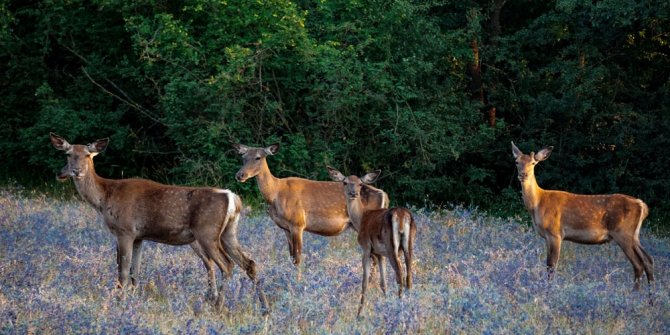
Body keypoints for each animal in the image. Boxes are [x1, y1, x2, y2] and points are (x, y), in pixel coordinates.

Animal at [50, 134, 268, 316]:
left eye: (88, 155)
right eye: (68, 154)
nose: (74, 171)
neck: (104, 198)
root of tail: (232, 197)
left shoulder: (124, 230)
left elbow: (122, 271)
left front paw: (120, 302)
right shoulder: (139, 236)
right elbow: (135, 271)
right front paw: (133, 300)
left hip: (207, 232)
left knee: (227, 264)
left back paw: (218, 306)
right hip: (228, 232)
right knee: (249, 262)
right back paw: (264, 308)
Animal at [328, 167, 418, 318]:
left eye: (360, 184)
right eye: (345, 182)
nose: (353, 193)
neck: (361, 218)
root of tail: (401, 215)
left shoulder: (366, 248)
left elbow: (365, 282)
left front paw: (359, 314)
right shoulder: (379, 254)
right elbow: (383, 282)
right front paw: (385, 304)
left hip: (391, 245)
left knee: (399, 275)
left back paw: (400, 306)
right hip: (409, 245)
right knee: (409, 276)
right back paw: (409, 306)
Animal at [516, 140, 656, 290]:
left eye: (533, 163)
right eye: (517, 162)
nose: (523, 175)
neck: (537, 204)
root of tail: (642, 205)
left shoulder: (555, 233)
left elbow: (551, 265)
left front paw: (550, 288)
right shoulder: (548, 237)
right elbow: (548, 265)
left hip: (623, 232)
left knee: (638, 264)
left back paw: (636, 292)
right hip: (634, 235)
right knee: (648, 259)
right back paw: (650, 294)